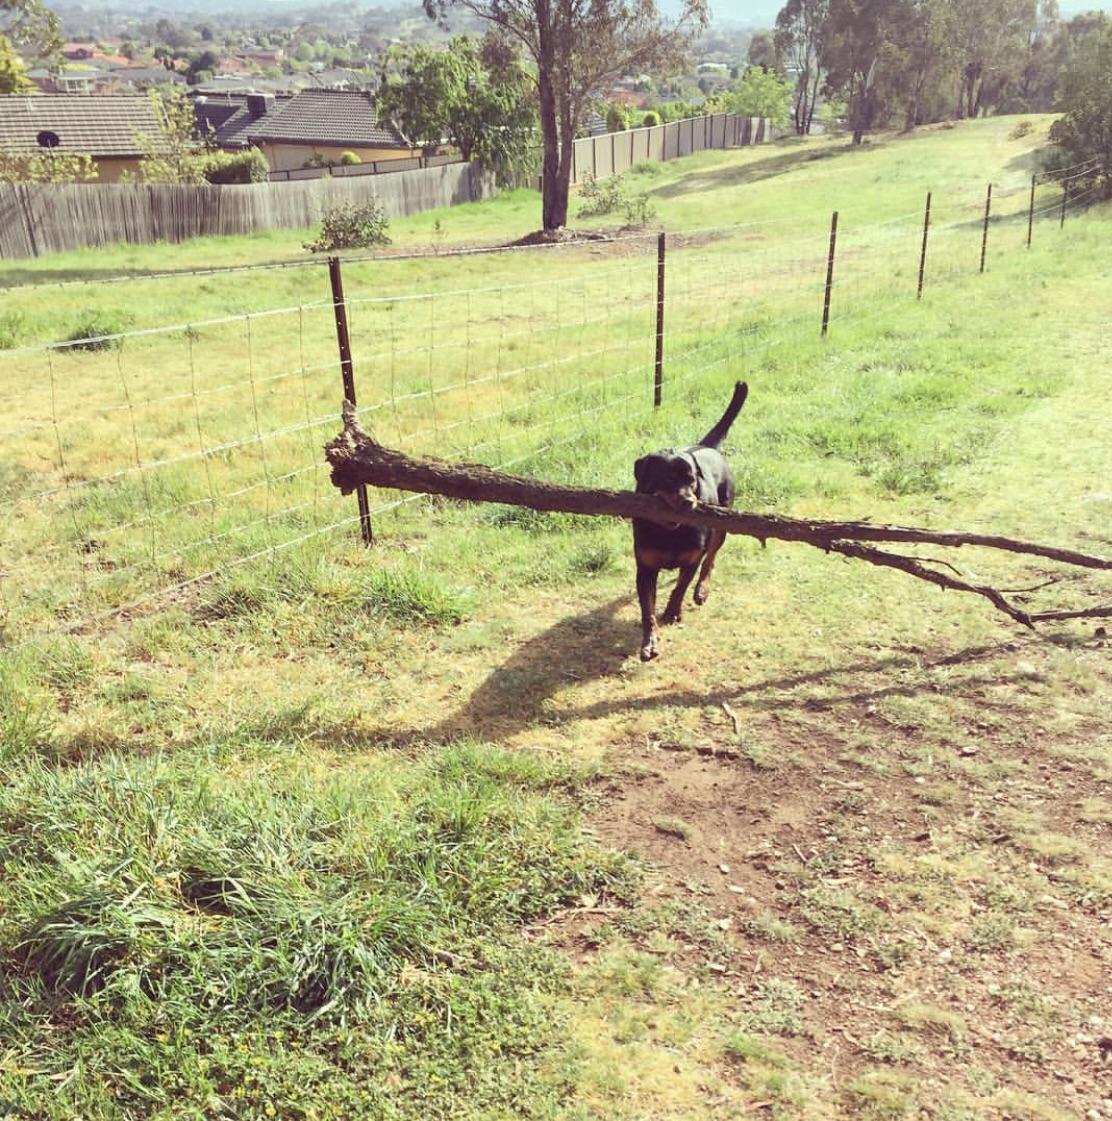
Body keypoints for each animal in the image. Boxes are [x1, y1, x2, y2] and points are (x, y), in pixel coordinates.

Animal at [632, 381, 748, 659]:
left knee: (711, 559)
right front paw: (649, 641)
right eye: (668, 479)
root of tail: (706, 446)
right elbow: (647, 609)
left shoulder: (691, 560)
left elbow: (680, 587)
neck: (669, 532)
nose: (688, 502)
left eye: (692, 480)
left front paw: (673, 612)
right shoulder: (645, 568)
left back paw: (702, 589)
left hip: (722, 524)